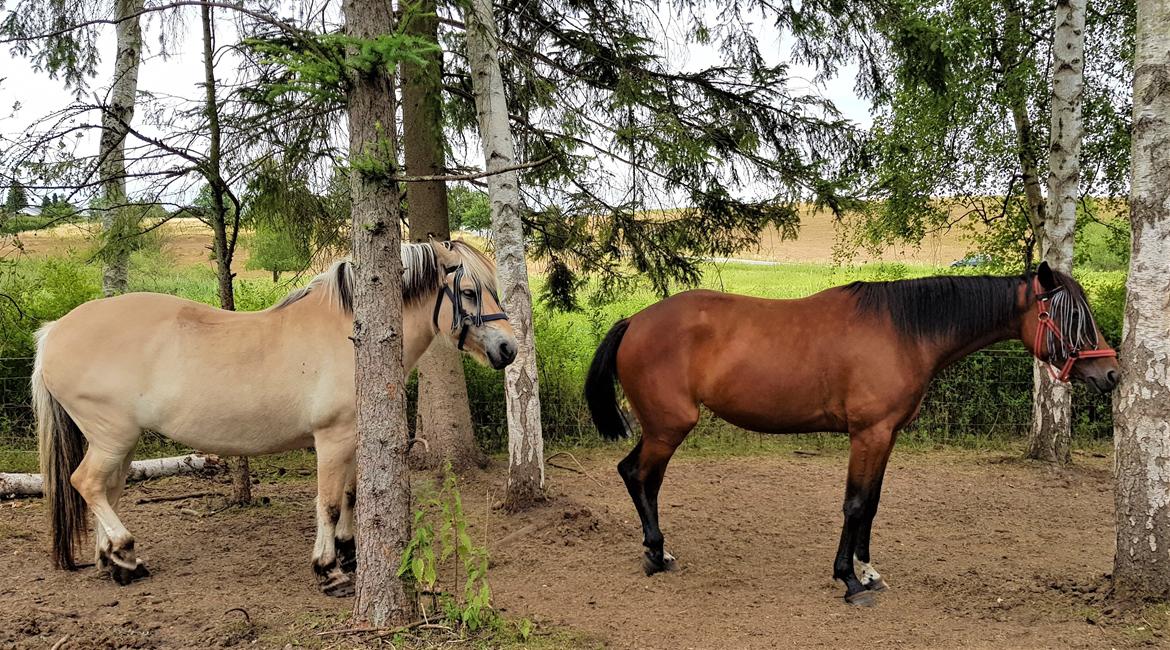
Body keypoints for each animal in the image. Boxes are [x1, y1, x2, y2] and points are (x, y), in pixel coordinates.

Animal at [30, 238, 517, 593]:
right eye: (469, 292)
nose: (509, 348)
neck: (350, 335)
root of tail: (56, 329)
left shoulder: (352, 439)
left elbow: (351, 497)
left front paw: (349, 551)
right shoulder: (332, 440)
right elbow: (328, 502)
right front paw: (329, 569)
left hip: (120, 442)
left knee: (107, 490)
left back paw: (116, 561)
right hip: (112, 436)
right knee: (88, 484)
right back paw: (124, 552)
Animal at [589, 261, 1118, 607]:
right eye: (1071, 317)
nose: (1111, 374)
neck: (904, 332)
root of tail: (635, 320)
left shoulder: (886, 436)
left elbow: (873, 502)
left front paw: (868, 569)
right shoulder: (868, 434)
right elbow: (855, 503)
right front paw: (849, 581)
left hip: (661, 427)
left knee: (636, 475)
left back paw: (658, 551)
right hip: (670, 426)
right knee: (641, 476)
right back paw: (656, 554)